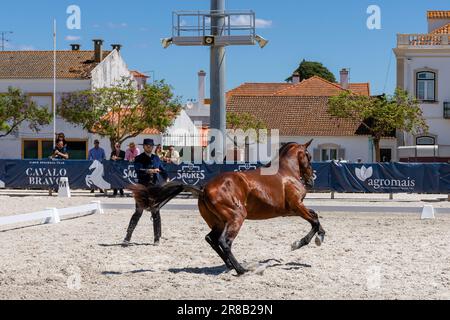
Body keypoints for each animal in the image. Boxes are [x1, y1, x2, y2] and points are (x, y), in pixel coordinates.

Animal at [128, 141, 326, 276]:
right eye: (308, 156)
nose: (311, 180)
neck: (287, 173)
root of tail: (204, 189)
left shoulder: (293, 210)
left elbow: (315, 217)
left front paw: (320, 236)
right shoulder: (296, 206)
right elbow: (314, 221)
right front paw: (301, 243)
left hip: (219, 222)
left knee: (211, 239)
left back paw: (230, 266)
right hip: (237, 217)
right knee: (225, 242)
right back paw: (241, 269)